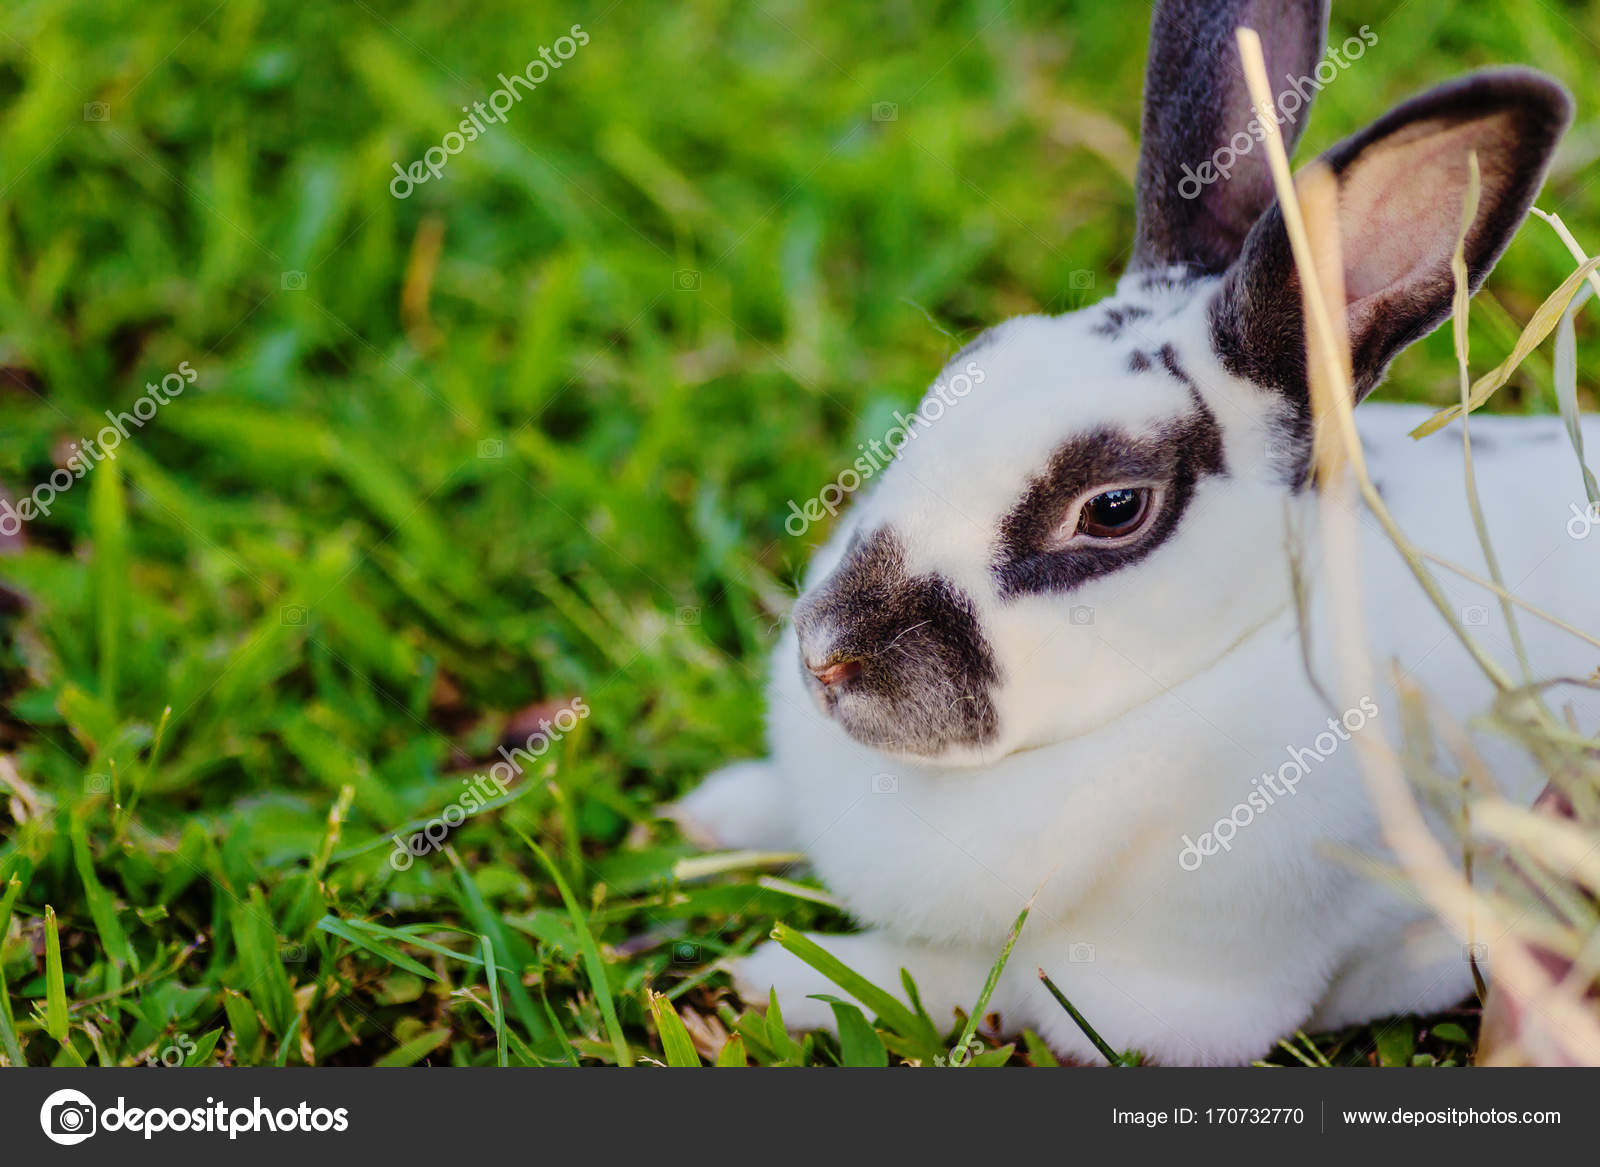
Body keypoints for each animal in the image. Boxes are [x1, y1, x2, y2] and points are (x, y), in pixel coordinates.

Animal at [671, 0, 1599, 1065]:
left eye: (1113, 508)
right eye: (963, 373)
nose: (826, 657)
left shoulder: (1144, 1000)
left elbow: (962, 979)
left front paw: (777, 976)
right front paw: (711, 810)